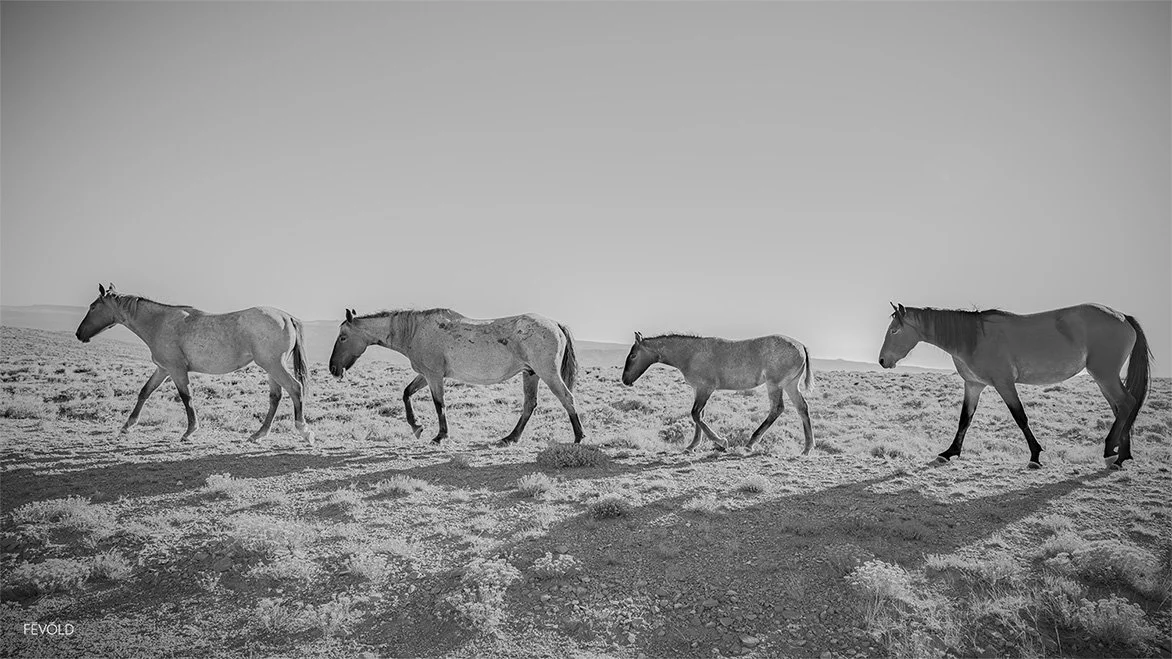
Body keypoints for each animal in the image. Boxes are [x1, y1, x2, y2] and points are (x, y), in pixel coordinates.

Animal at [75, 284, 314, 445]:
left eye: (93, 307)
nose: (79, 334)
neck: (159, 322)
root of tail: (286, 316)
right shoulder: (163, 369)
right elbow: (145, 392)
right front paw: (127, 425)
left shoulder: (176, 370)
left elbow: (186, 397)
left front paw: (189, 431)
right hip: (271, 368)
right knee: (276, 397)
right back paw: (259, 434)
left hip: (274, 365)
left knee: (295, 388)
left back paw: (304, 431)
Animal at [328, 308, 584, 445]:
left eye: (342, 337)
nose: (333, 368)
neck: (415, 331)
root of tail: (554, 324)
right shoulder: (426, 375)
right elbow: (406, 394)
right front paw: (416, 426)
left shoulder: (434, 376)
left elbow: (439, 404)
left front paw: (440, 436)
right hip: (531, 374)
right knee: (530, 404)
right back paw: (510, 437)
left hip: (547, 373)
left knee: (567, 399)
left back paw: (579, 437)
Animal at [621, 332, 814, 454]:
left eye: (632, 355)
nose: (625, 380)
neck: (691, 353)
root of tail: (801, 346)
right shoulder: (699, 390)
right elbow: (699, 416)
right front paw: (692, 446)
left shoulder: (705, 389)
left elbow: (696, 415)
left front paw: (721, 442)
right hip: (790, 385)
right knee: (802, 407)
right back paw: (807, 447)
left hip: (774, 385)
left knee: (777, 408)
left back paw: (750, 443)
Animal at [878, 303, 1151, 469]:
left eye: (894, 331)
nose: (882, 360)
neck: (974, 338)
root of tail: (1123, 317)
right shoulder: (974, 385)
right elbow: (965, 419)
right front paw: (949, 452)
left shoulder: (1004, 384)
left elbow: (1020, 417)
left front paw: (1035, 456)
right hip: (1105, 378)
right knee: (1122, 408)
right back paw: (1121, 454)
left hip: (1104, 375)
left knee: (1126, 403)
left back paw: (1112, 451)